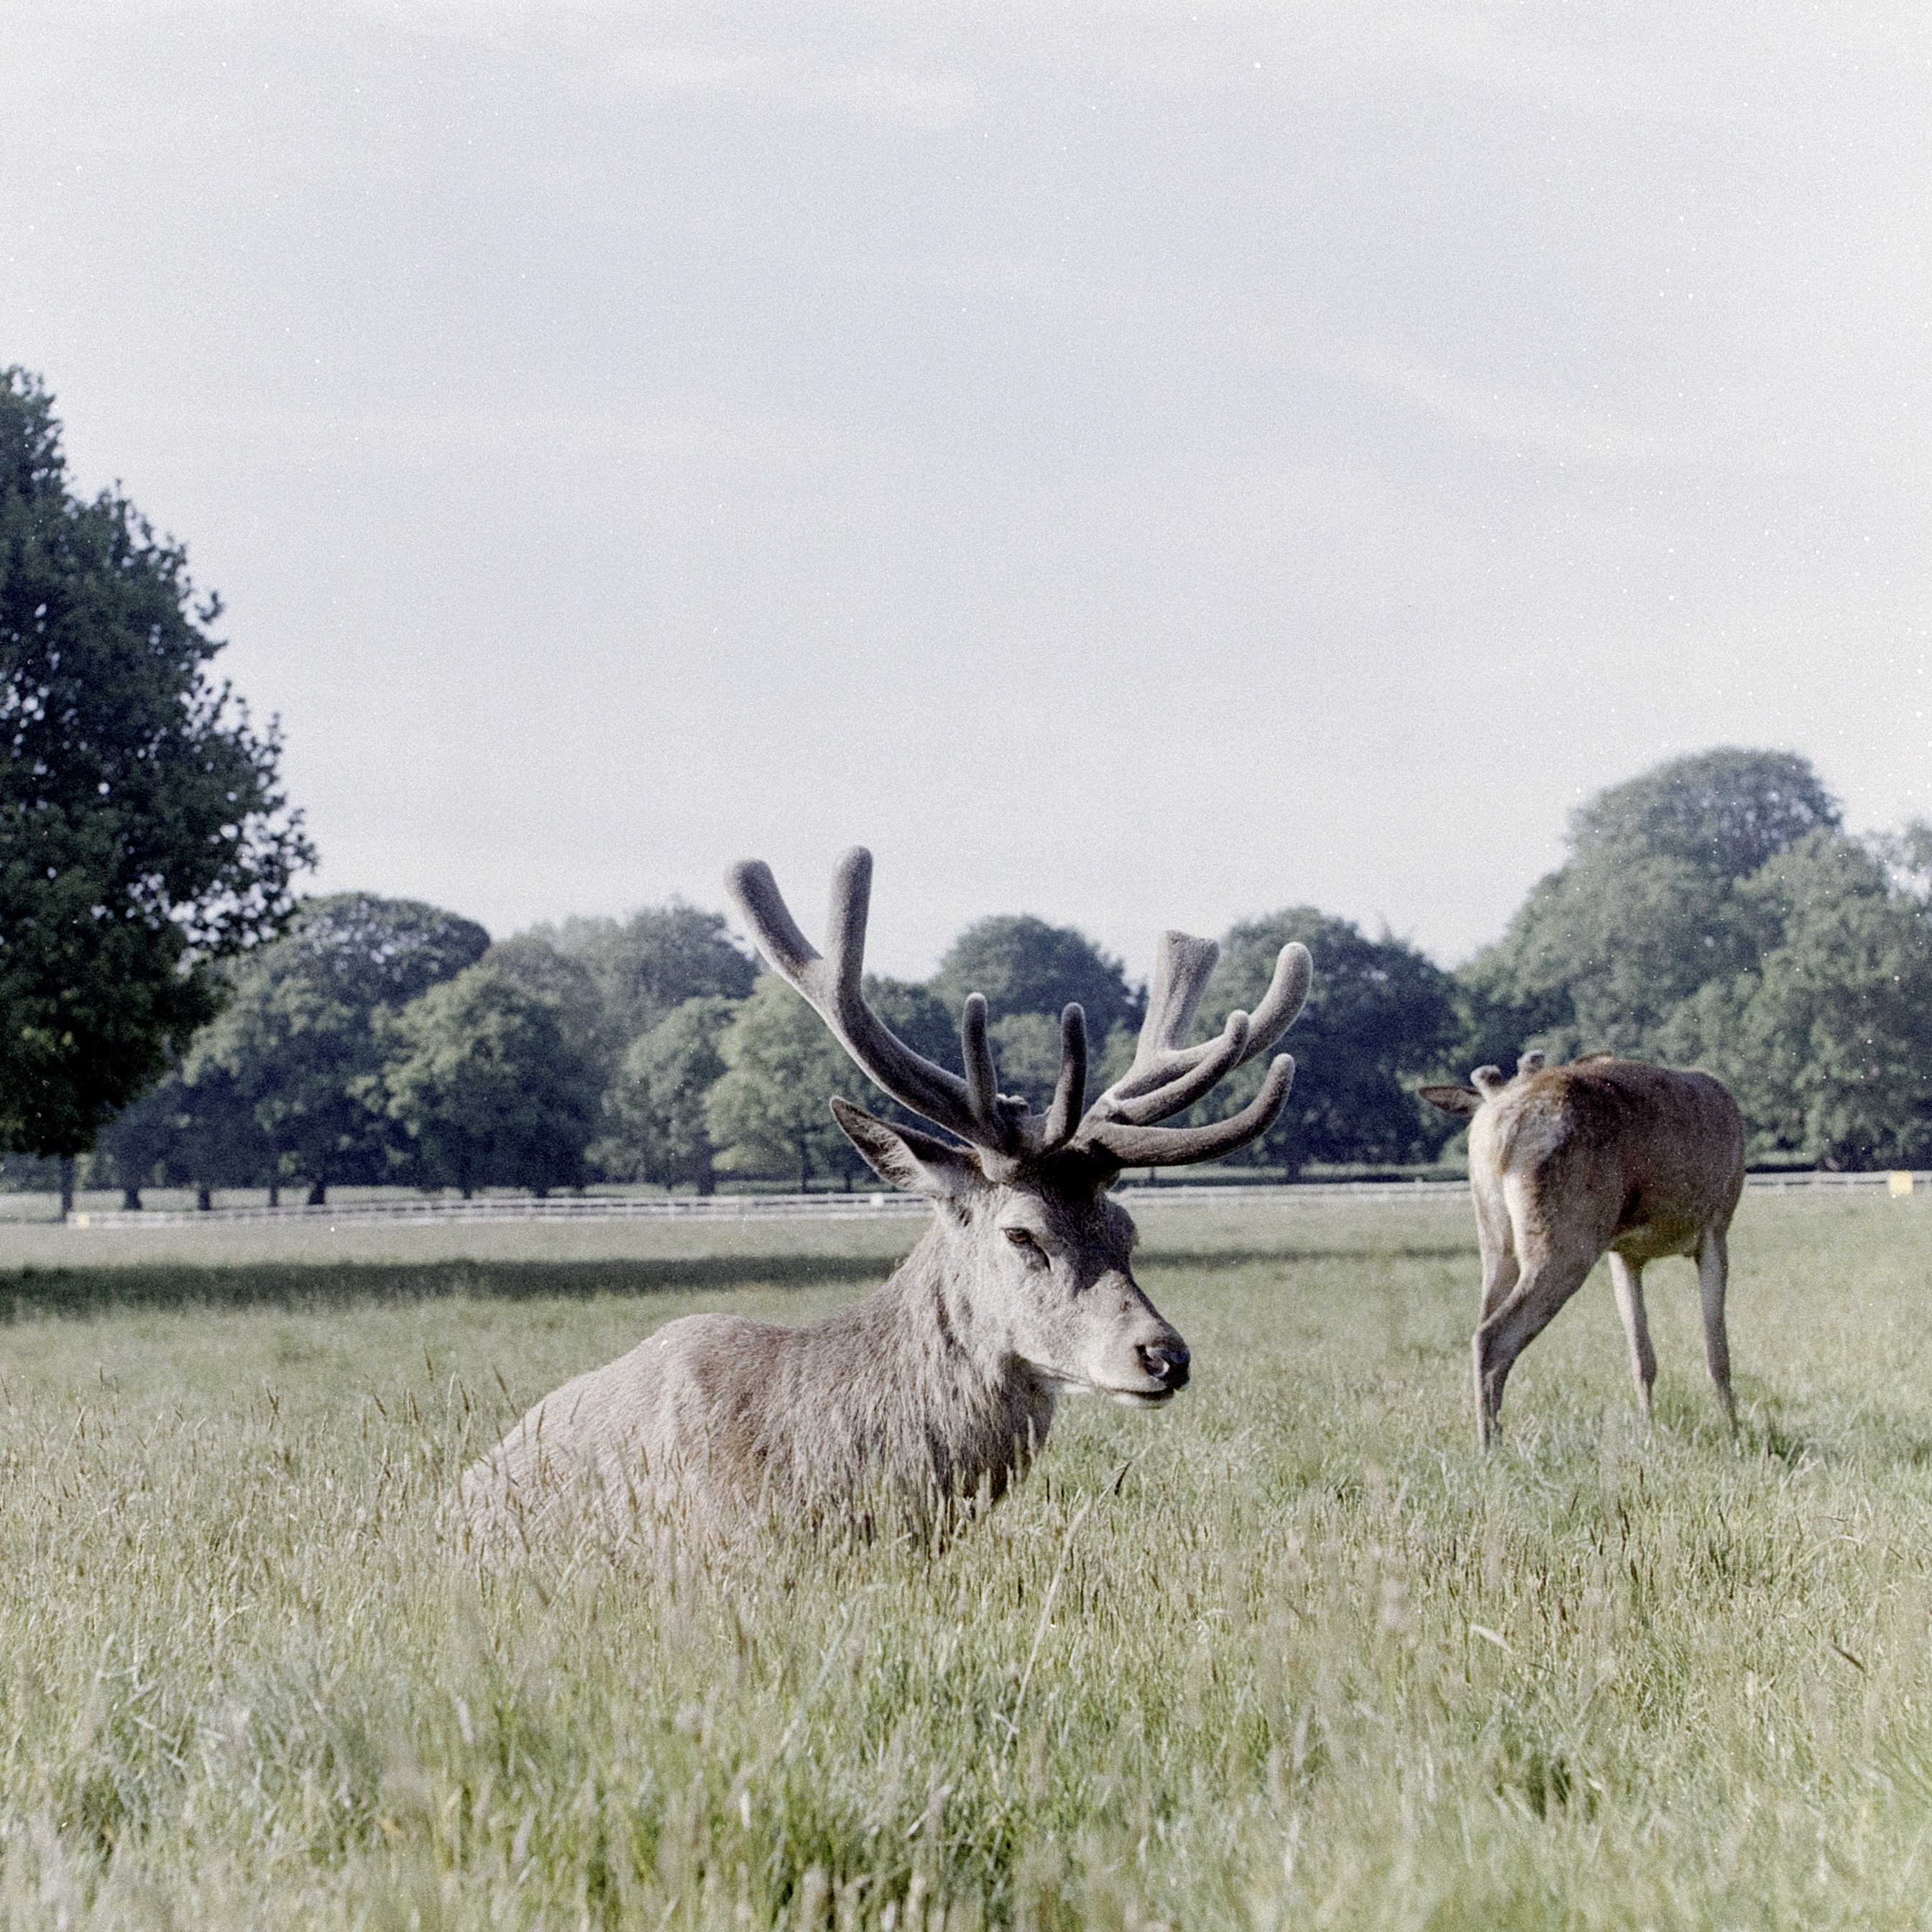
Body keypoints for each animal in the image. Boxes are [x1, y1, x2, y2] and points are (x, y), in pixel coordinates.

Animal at [1422, 1051, 1754, 1445]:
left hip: (1495, 1238)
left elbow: (1642, 1357)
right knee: (1492, 1337)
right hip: (1567, 1238)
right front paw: (1735, 1436)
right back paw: (1492, 1449)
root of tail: (1497, 1127)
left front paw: (1649, 1432)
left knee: (1483, 1321)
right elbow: (1718, 1353)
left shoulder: (1623, 1252)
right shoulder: (1716, 1228)